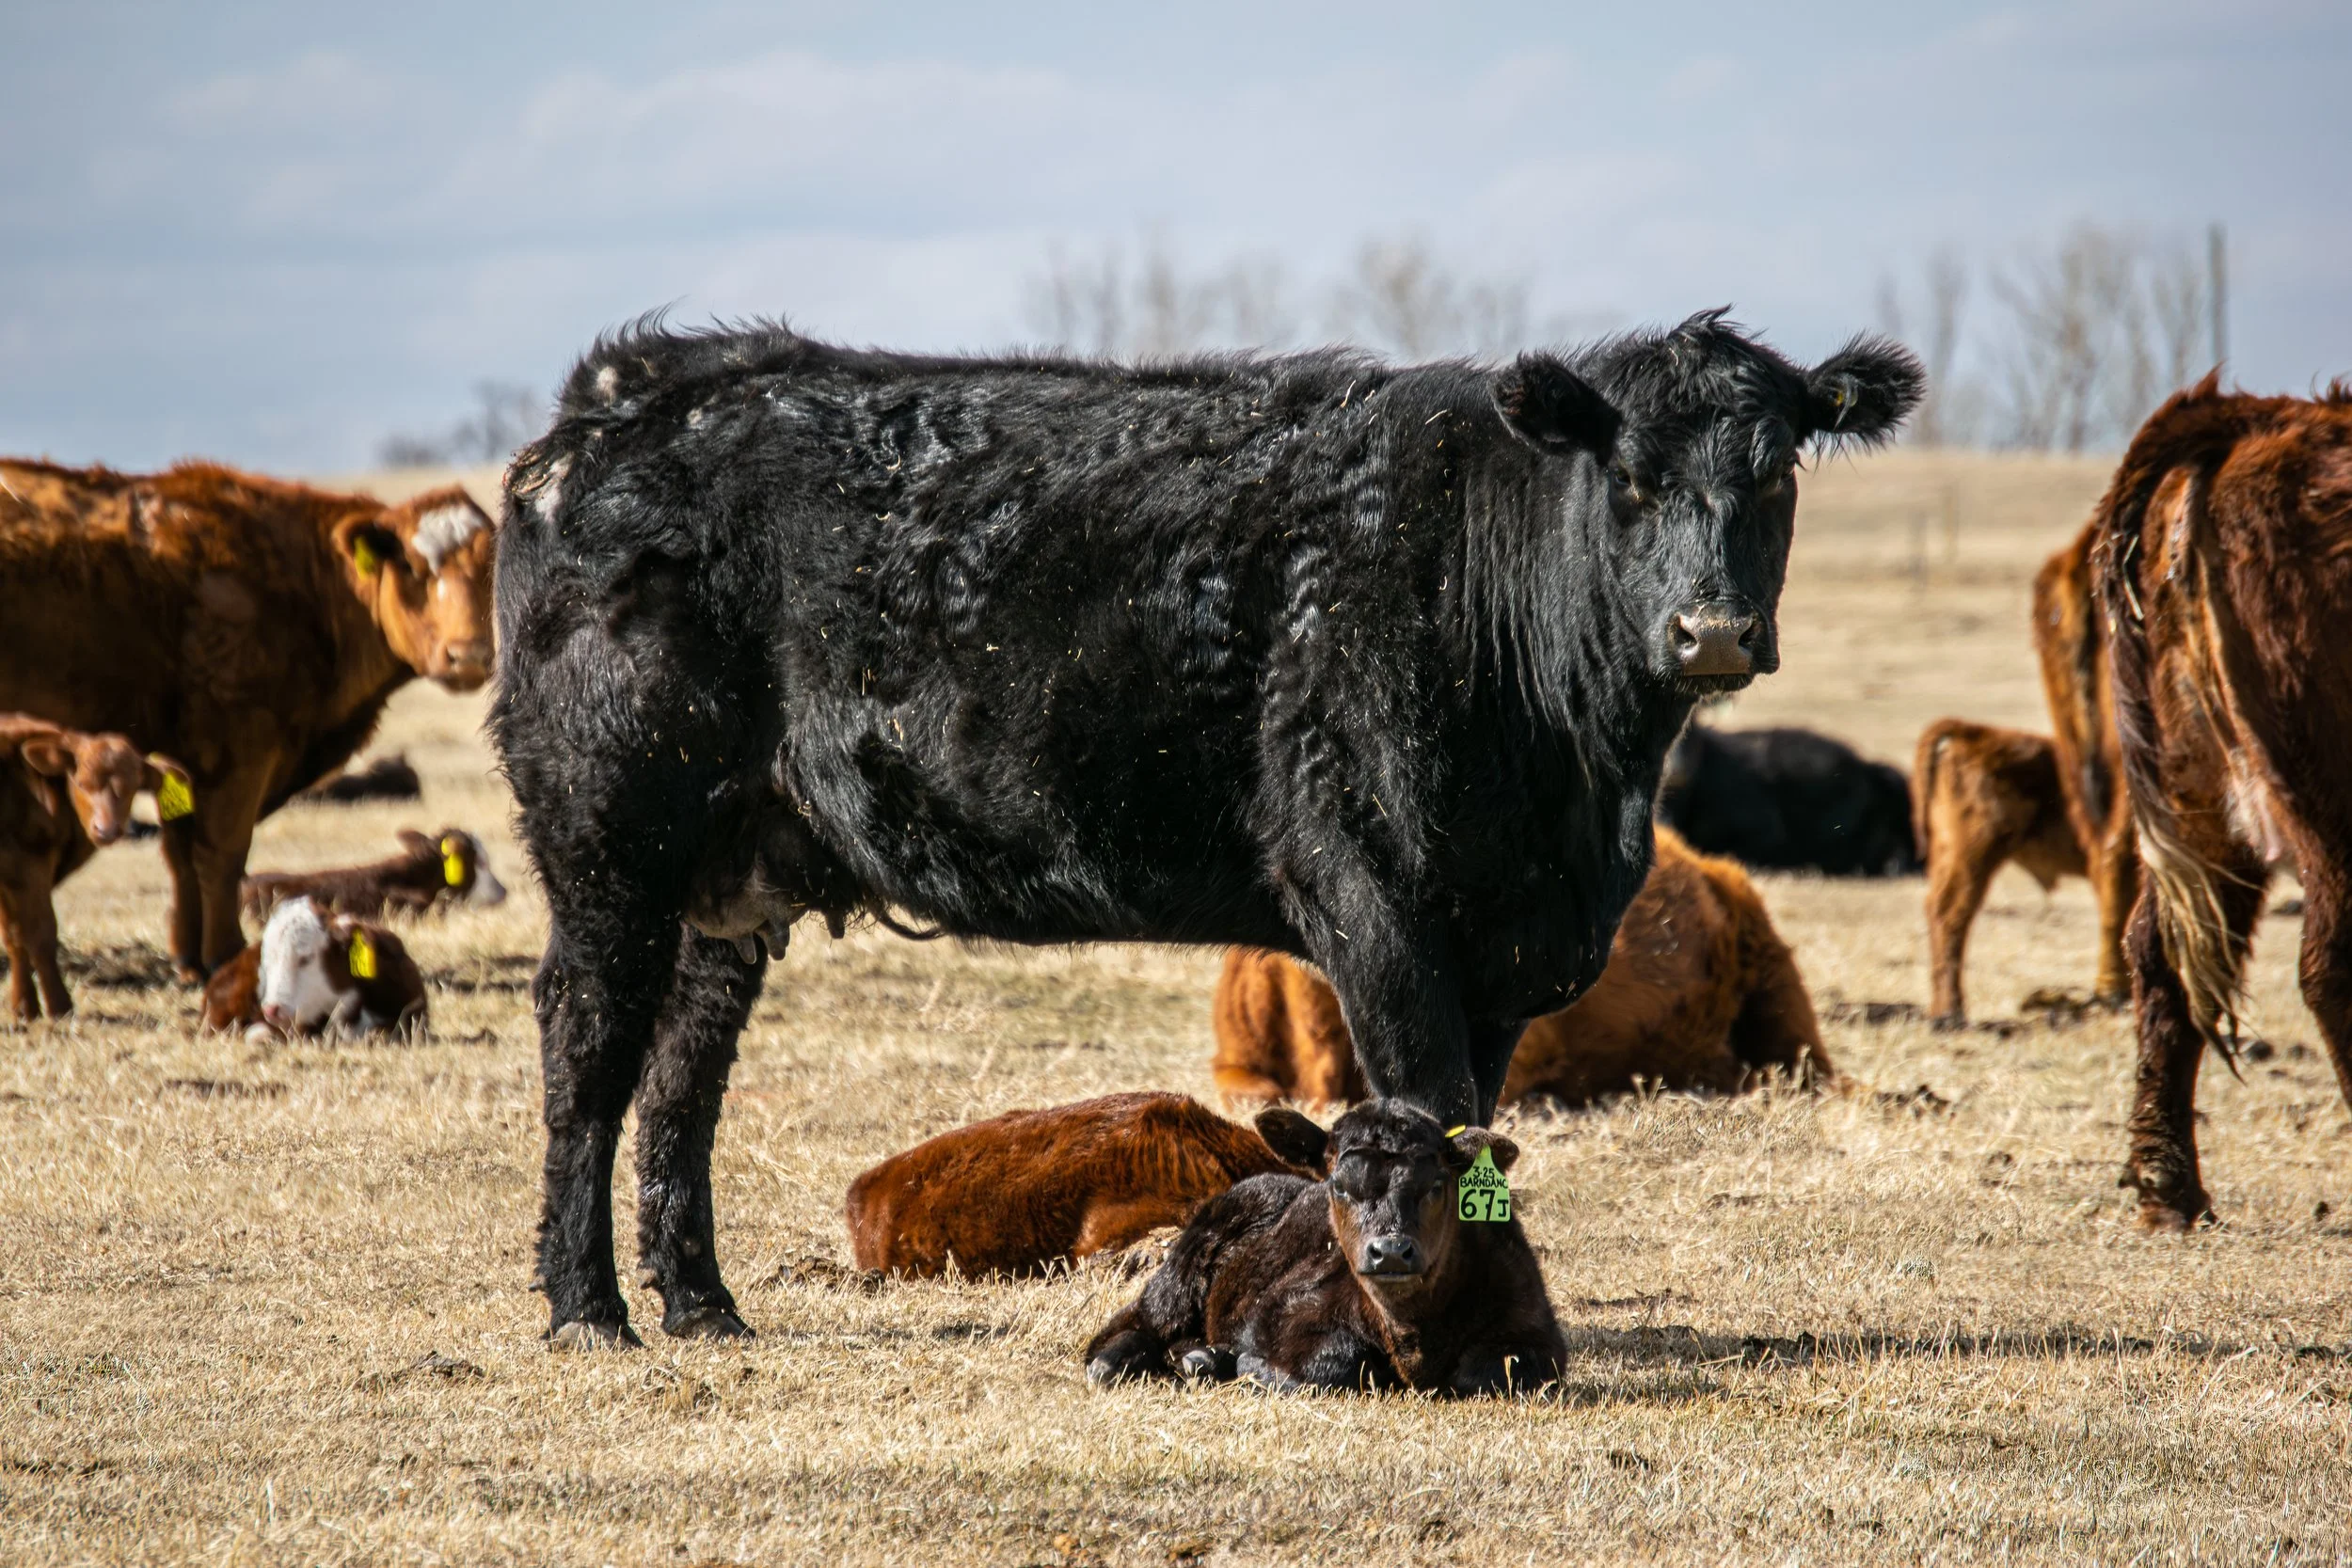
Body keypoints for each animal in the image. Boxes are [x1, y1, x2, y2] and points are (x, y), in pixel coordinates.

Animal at [0, 716, 192, 1019]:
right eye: (80, 782)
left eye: (132, 786)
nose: (107, 829)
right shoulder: (28, 863)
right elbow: (39, 933)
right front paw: (58, 1005)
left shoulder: (11, 872)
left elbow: (14, 936)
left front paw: (23, 1006)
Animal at [1084, 1101, 1565, 1396]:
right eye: (1339, 1186)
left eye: (1435, 1185)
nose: (1391, 1251)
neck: (1412, 1339)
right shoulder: (1278, 1312)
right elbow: (1333, 1363)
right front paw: (1250, 1365)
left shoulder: (1537, 1332)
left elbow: (1492, 1372)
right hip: (1181, 1275)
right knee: (1132, 1323)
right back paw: (1115, 1362)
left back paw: (1202, 1358)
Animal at [2093, 378, 2352, 1230]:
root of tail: (2252, 420)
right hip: (2324, 801)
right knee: (2332, 964)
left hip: (2202, 803)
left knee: (2159, 952)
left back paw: (2168, 1188)